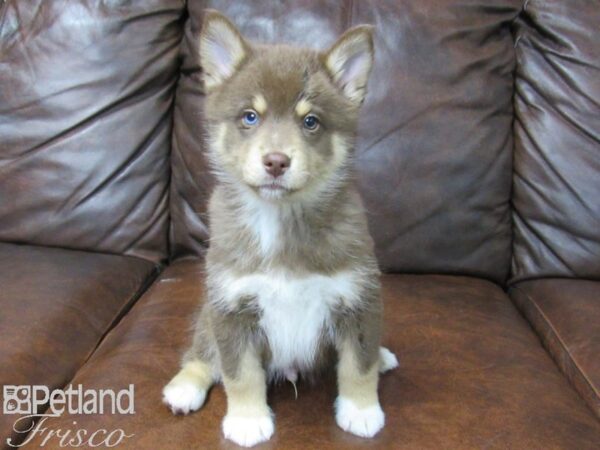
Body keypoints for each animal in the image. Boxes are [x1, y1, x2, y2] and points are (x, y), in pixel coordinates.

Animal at [163, 10, 398, 446]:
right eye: (250, 116)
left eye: (311, 121)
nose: (276, 161)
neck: (282, 221)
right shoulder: (231, 305)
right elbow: (239, 372)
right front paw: (246, 420)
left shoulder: (359, 299)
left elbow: (358, 364)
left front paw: (361, 410)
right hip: (207, 315)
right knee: (202, 353)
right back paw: (185, 387)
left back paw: (383, 356)